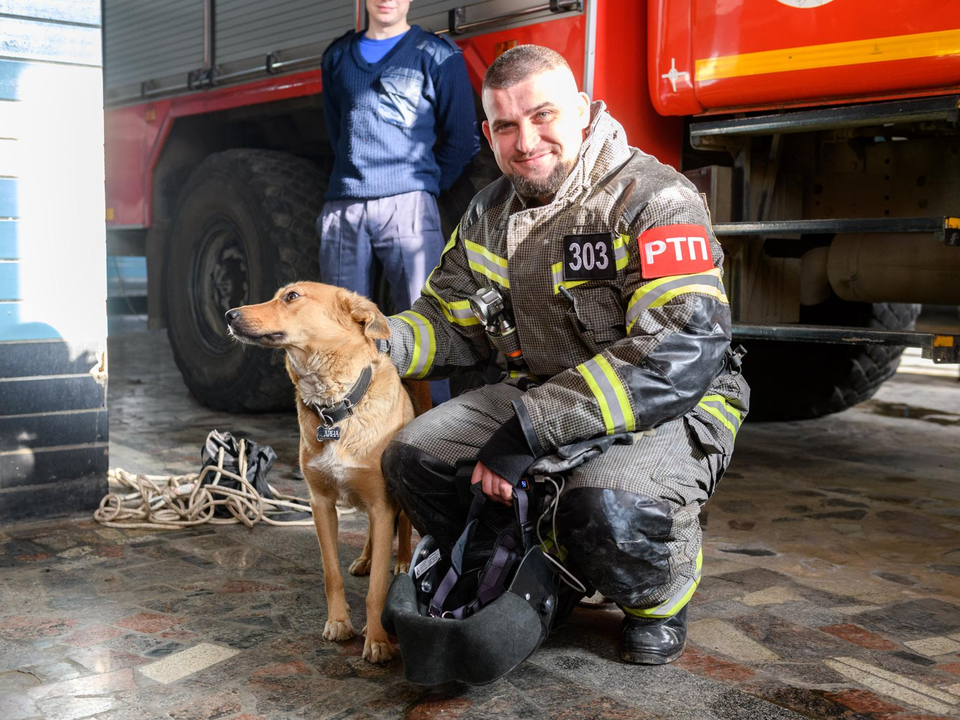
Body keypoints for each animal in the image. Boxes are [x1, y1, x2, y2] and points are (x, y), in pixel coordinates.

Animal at [229, 282, 420, 664]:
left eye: (292, 297)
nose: (229, 315)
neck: (335, 407)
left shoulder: (382, 502)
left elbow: (377, 588)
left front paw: (377, 639)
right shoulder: (321, 505)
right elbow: (331, 572)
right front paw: (339, 622)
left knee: (403, 528)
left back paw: (403, 560)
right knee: (371, 535)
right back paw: (365, 558)